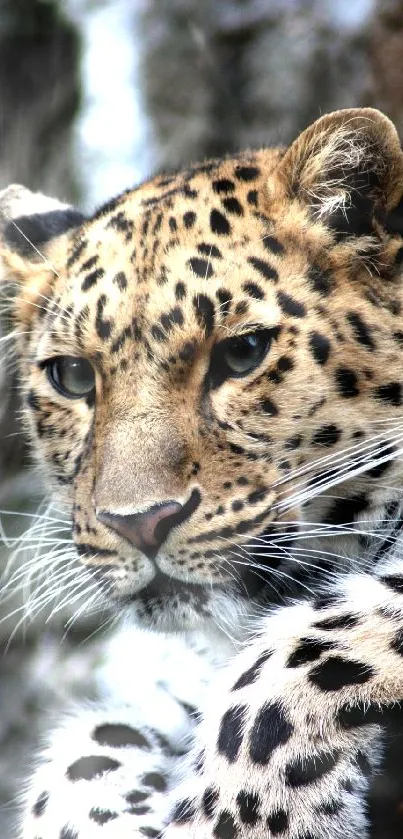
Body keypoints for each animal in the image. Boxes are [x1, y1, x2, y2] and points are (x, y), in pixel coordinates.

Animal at [2, 106, 403, 839]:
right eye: (73, 375)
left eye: (243, 354)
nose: (139, 524)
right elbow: (86, 751)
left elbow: (302, 649)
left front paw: (240, 817)